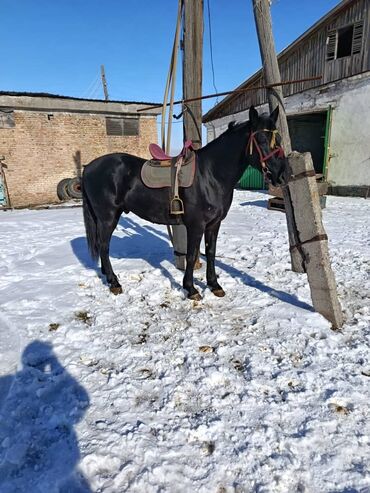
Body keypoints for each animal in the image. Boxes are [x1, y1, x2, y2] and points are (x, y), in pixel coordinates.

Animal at [82, 105, 288, 300]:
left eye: (278, 139)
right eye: (261, 140)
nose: (281, 174)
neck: (210, 175)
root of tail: (89, 167)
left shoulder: (214, 224)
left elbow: (210, 252)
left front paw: (214, 285)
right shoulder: (196, 225)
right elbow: (191, 255)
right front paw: (191, 289)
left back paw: (107, 276)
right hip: (108, 218)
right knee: (104, 246)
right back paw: (114, 282)